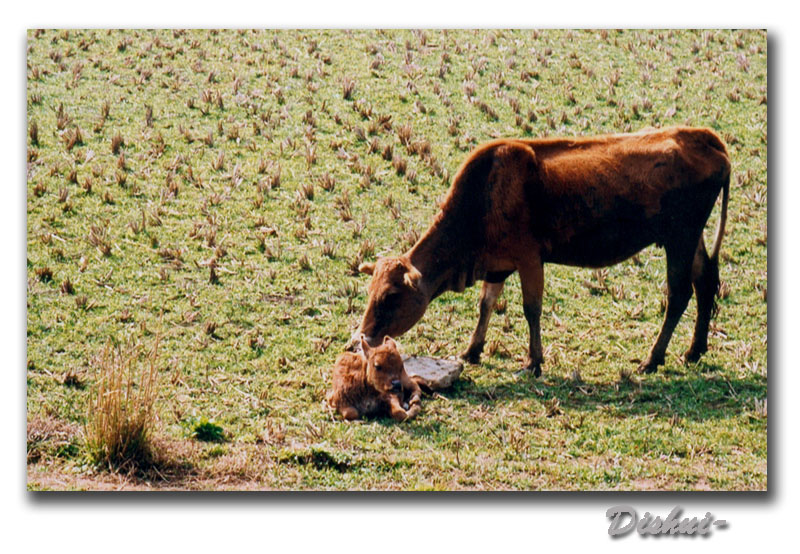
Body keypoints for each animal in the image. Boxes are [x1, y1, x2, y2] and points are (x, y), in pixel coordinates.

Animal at [354, 125, 728, 376]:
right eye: (370, 292)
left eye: (391, 296)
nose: (364, 338)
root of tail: (701, 135)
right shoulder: (498, 263)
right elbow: (486, 304)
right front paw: (472, 351)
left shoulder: (529, 258)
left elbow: (531, 308)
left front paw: (533, 361)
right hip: (691, 239)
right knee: (705, 282)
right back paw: (694, 351)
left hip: (680, 238)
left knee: (679, 294)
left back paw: (653, 359)